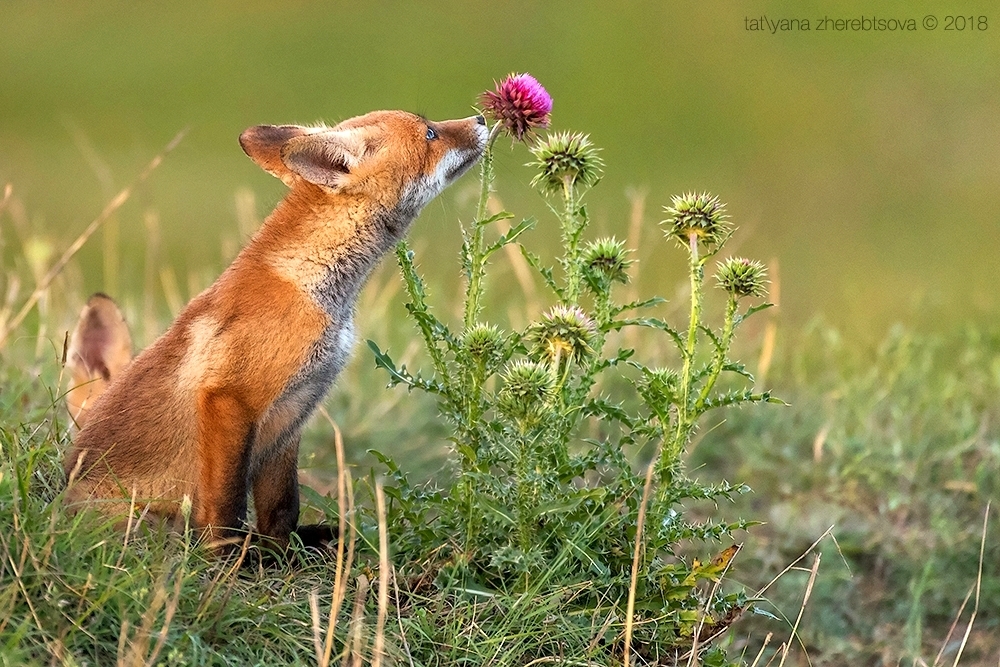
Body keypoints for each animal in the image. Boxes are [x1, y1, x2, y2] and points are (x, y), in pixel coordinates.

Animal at [63, 108, 488, 548]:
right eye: (430, 133)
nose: (480, 118)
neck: (317, 289)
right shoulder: (229, 398)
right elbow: (226, 507)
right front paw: (229, 555)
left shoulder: (291, 413)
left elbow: (282, 506)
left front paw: (282, 552)